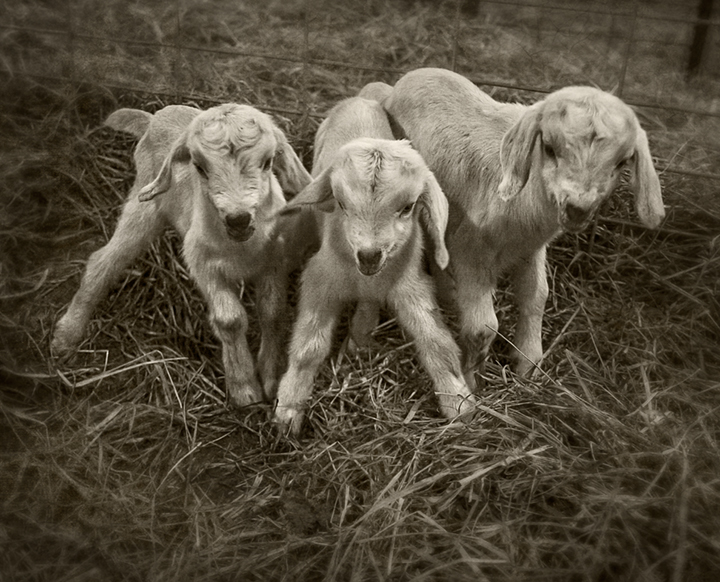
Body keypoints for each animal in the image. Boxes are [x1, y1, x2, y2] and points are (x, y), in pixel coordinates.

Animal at [51, 103, 314, 407]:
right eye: (199, 167)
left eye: (268, 162)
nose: (238, 219)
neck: (240, 246)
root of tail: (152, 119)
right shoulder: (202, 263)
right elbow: (230, 319)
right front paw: (244, 387)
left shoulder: (274, 262)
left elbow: (272, 312)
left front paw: (270, 379)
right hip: (145, 206)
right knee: (103, 261)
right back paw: (66, 335)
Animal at [272, 94, 476, 435]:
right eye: (341, 204)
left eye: (408, 207)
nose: (369, 254)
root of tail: (359, 98)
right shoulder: (320, 279)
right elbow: (308, 347)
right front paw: (288, 409)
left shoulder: (410, 285)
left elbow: (436, 342)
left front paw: (458, 401)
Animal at [382, 68, 665, 390]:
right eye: (549, 148)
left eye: (621, 162)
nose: (577, 208)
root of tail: (409, 76)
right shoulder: (469, 251)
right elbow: (483, 327)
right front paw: (472, 379)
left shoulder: (531, 249)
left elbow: (537, 297)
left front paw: (528, 365)